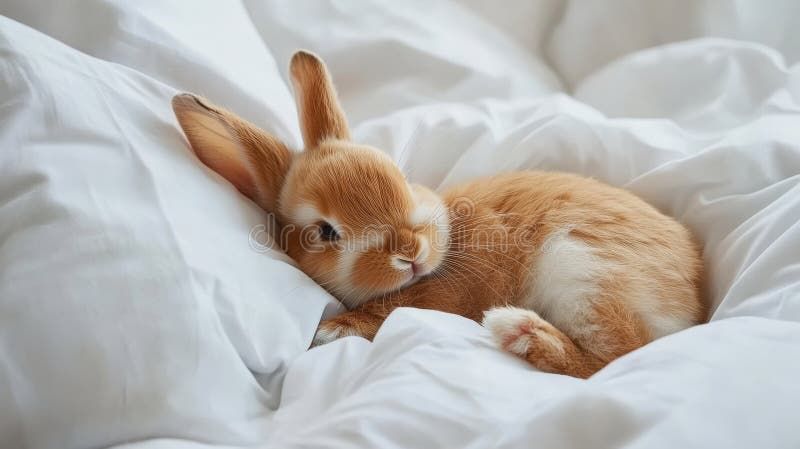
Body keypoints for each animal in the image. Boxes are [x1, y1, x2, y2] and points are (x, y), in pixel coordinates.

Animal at [171, 50, 705, 378]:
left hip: (583, 268)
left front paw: (330, 331)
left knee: (616, 358)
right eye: (324, 232)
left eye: (400, 177)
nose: (410, 252)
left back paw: (517, 329)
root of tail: (692, 302)